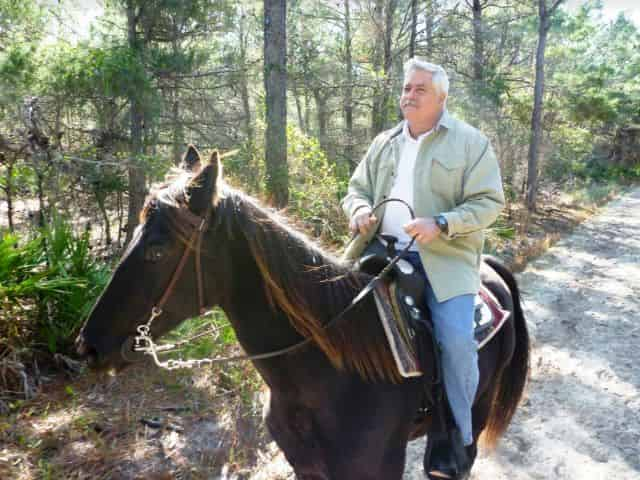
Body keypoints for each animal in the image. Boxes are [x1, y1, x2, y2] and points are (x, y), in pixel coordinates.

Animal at [75, 148, 528, 478]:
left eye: (157, 249)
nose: (88, 347)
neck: (329, 369)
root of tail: (491, 269)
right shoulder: (309, 468)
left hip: (477, 408)